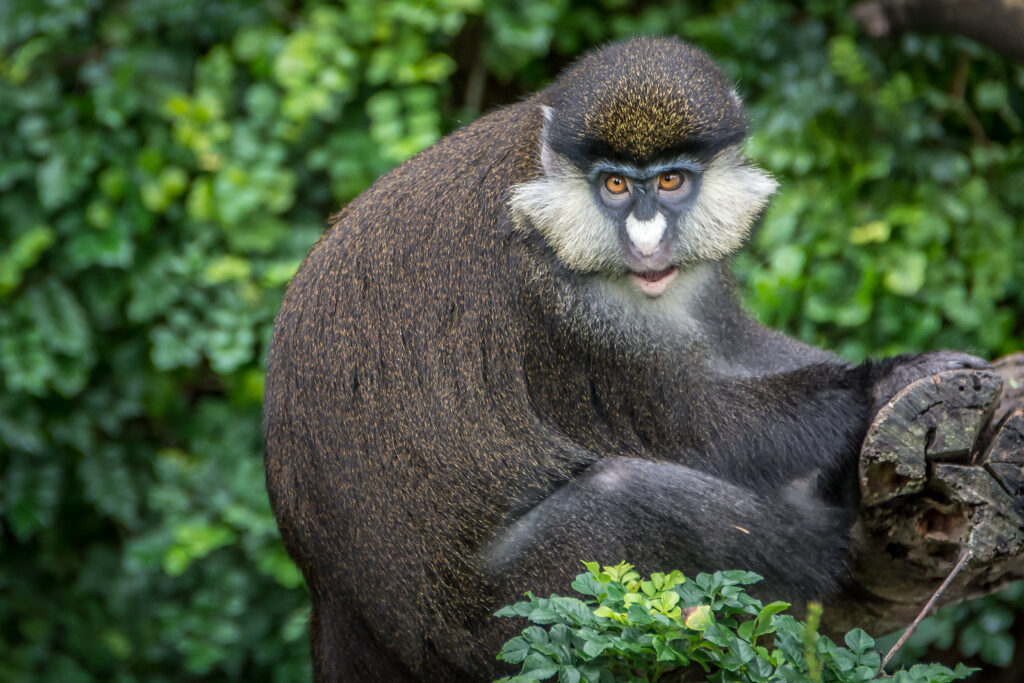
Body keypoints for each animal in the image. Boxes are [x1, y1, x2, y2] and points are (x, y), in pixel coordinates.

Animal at [263, 37, 987, 681]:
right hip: (487, 623)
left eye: (670, 180)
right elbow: (707, 429)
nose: (646, 240)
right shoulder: (557, 312)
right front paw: (891, 378)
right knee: (628, 495)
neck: (543, 190)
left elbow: (741, 347)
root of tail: (336, 601)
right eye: (614, 184)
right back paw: (822, 540)